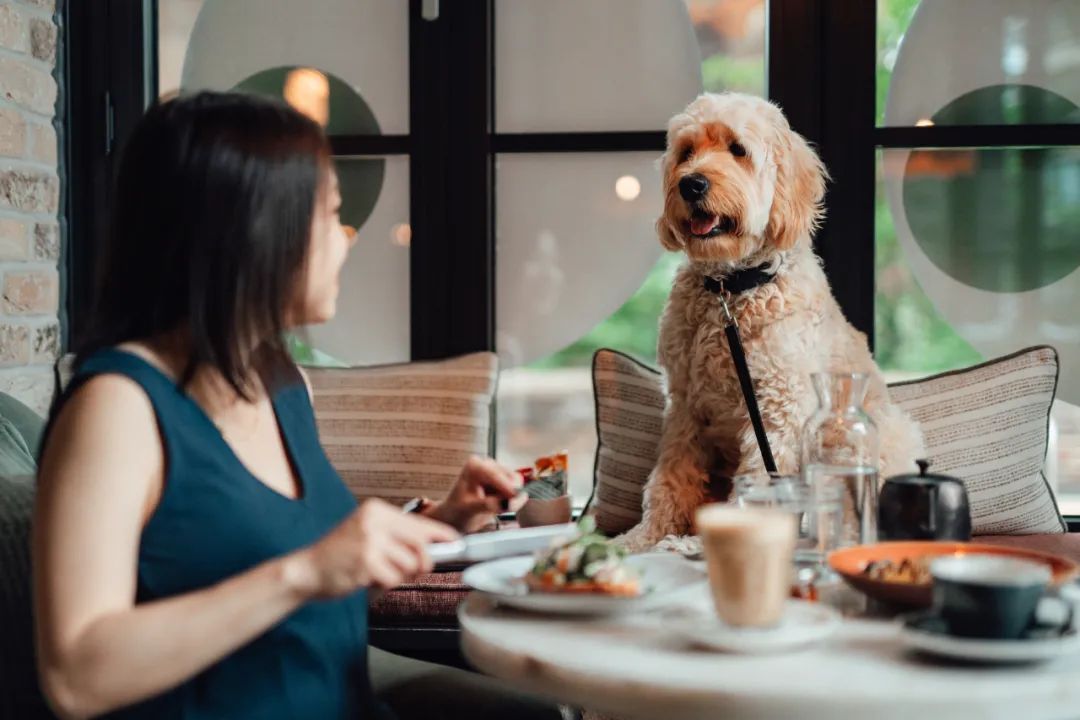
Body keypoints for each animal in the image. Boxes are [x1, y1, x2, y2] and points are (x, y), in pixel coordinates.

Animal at [622, 91, 924, 552]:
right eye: (686, 152)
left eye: (737, 150)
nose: (691, 184)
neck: (731, 290)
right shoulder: (685, 407)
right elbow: (670, 478)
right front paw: (646, 537)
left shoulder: (777, 407)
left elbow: (759, 478)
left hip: (868, 435)